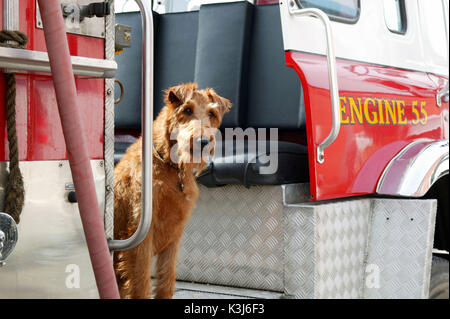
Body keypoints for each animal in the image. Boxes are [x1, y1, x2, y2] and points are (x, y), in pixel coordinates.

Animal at [112, 83, 232, 300]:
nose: (203, 141)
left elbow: (167, 278)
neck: (170, 166)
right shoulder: (141, 233)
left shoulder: (174, 235)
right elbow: (141, 283)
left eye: (211, 113)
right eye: (187, 110)